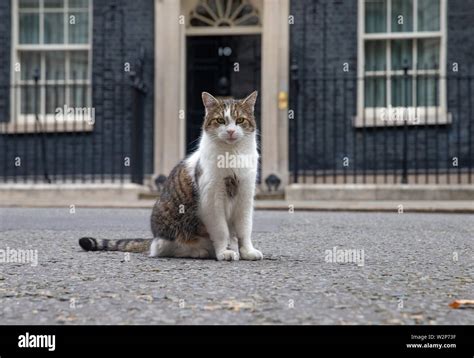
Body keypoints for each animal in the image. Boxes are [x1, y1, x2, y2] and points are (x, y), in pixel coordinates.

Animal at [78, 91, 262, 262]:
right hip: (171, 228)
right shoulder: (212, 200)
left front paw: (247, 251)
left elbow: (245, 229)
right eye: (220, 120)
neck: (232, 155)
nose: (231, 131)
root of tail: (153, 238)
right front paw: (224, 252)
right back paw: (198, 251)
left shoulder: (245, 197)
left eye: (240, 120)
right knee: (165, 248)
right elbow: (221, 230)